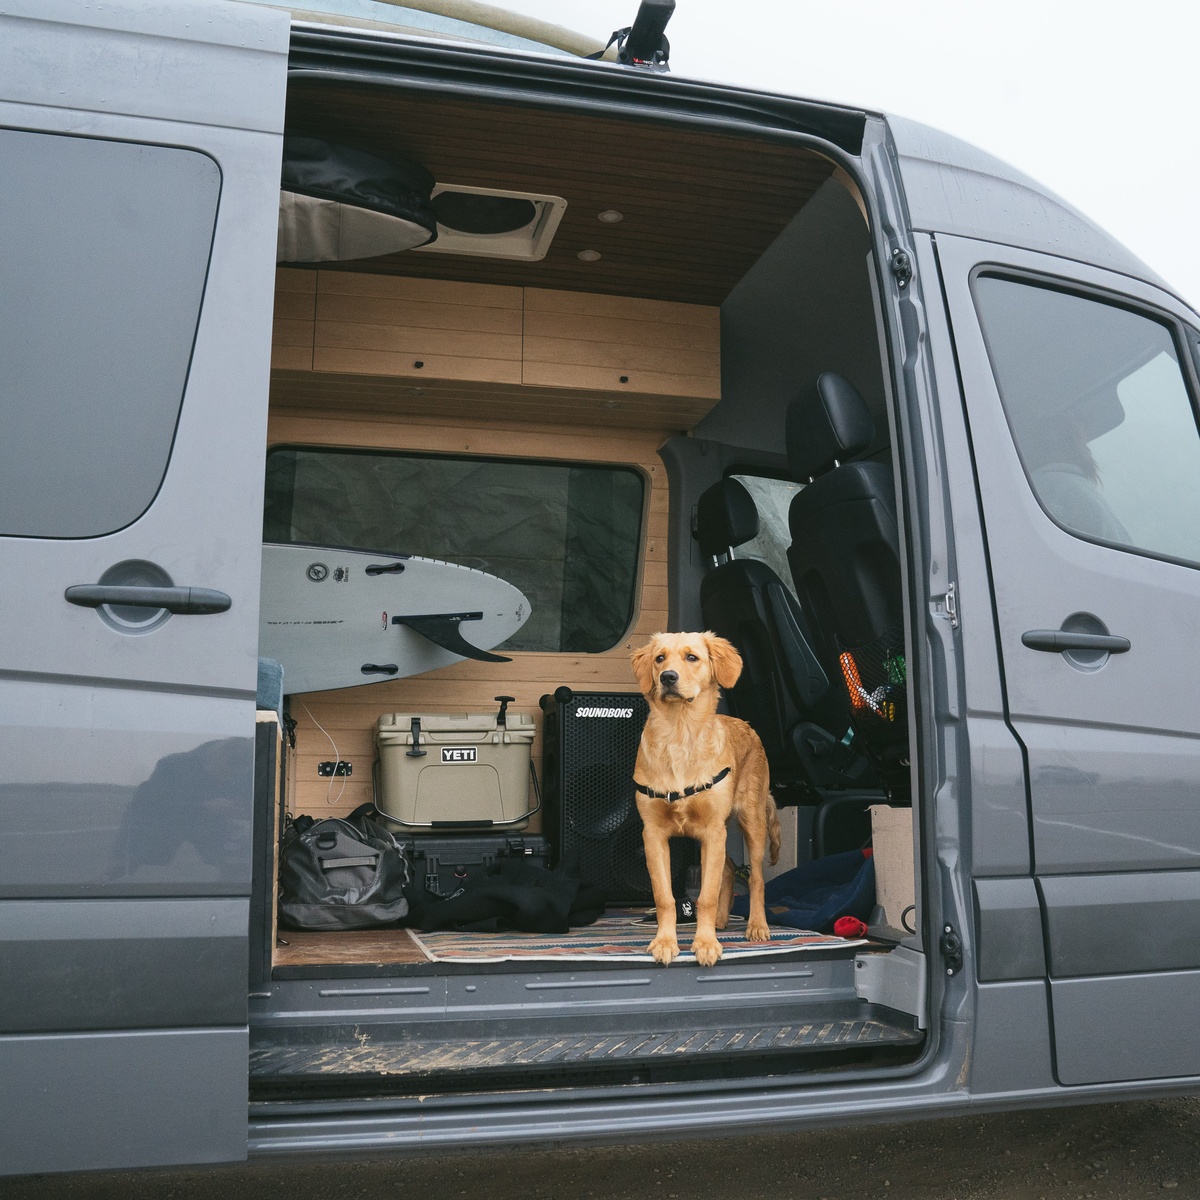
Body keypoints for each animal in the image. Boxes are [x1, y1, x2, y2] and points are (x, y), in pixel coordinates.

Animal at [633, 628, 782, 964]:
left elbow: (707, 894)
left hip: (751, 820)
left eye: (692, 657)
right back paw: (721, 921)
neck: (680, 733)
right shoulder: (653, 833)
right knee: (727, 868)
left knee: (756, 878)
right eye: (659, 658)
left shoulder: (713, 831)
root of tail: (746, 724)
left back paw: (756, 925)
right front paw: (665, 942)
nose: (668, 677)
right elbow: (664, 896)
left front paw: (705, 943)